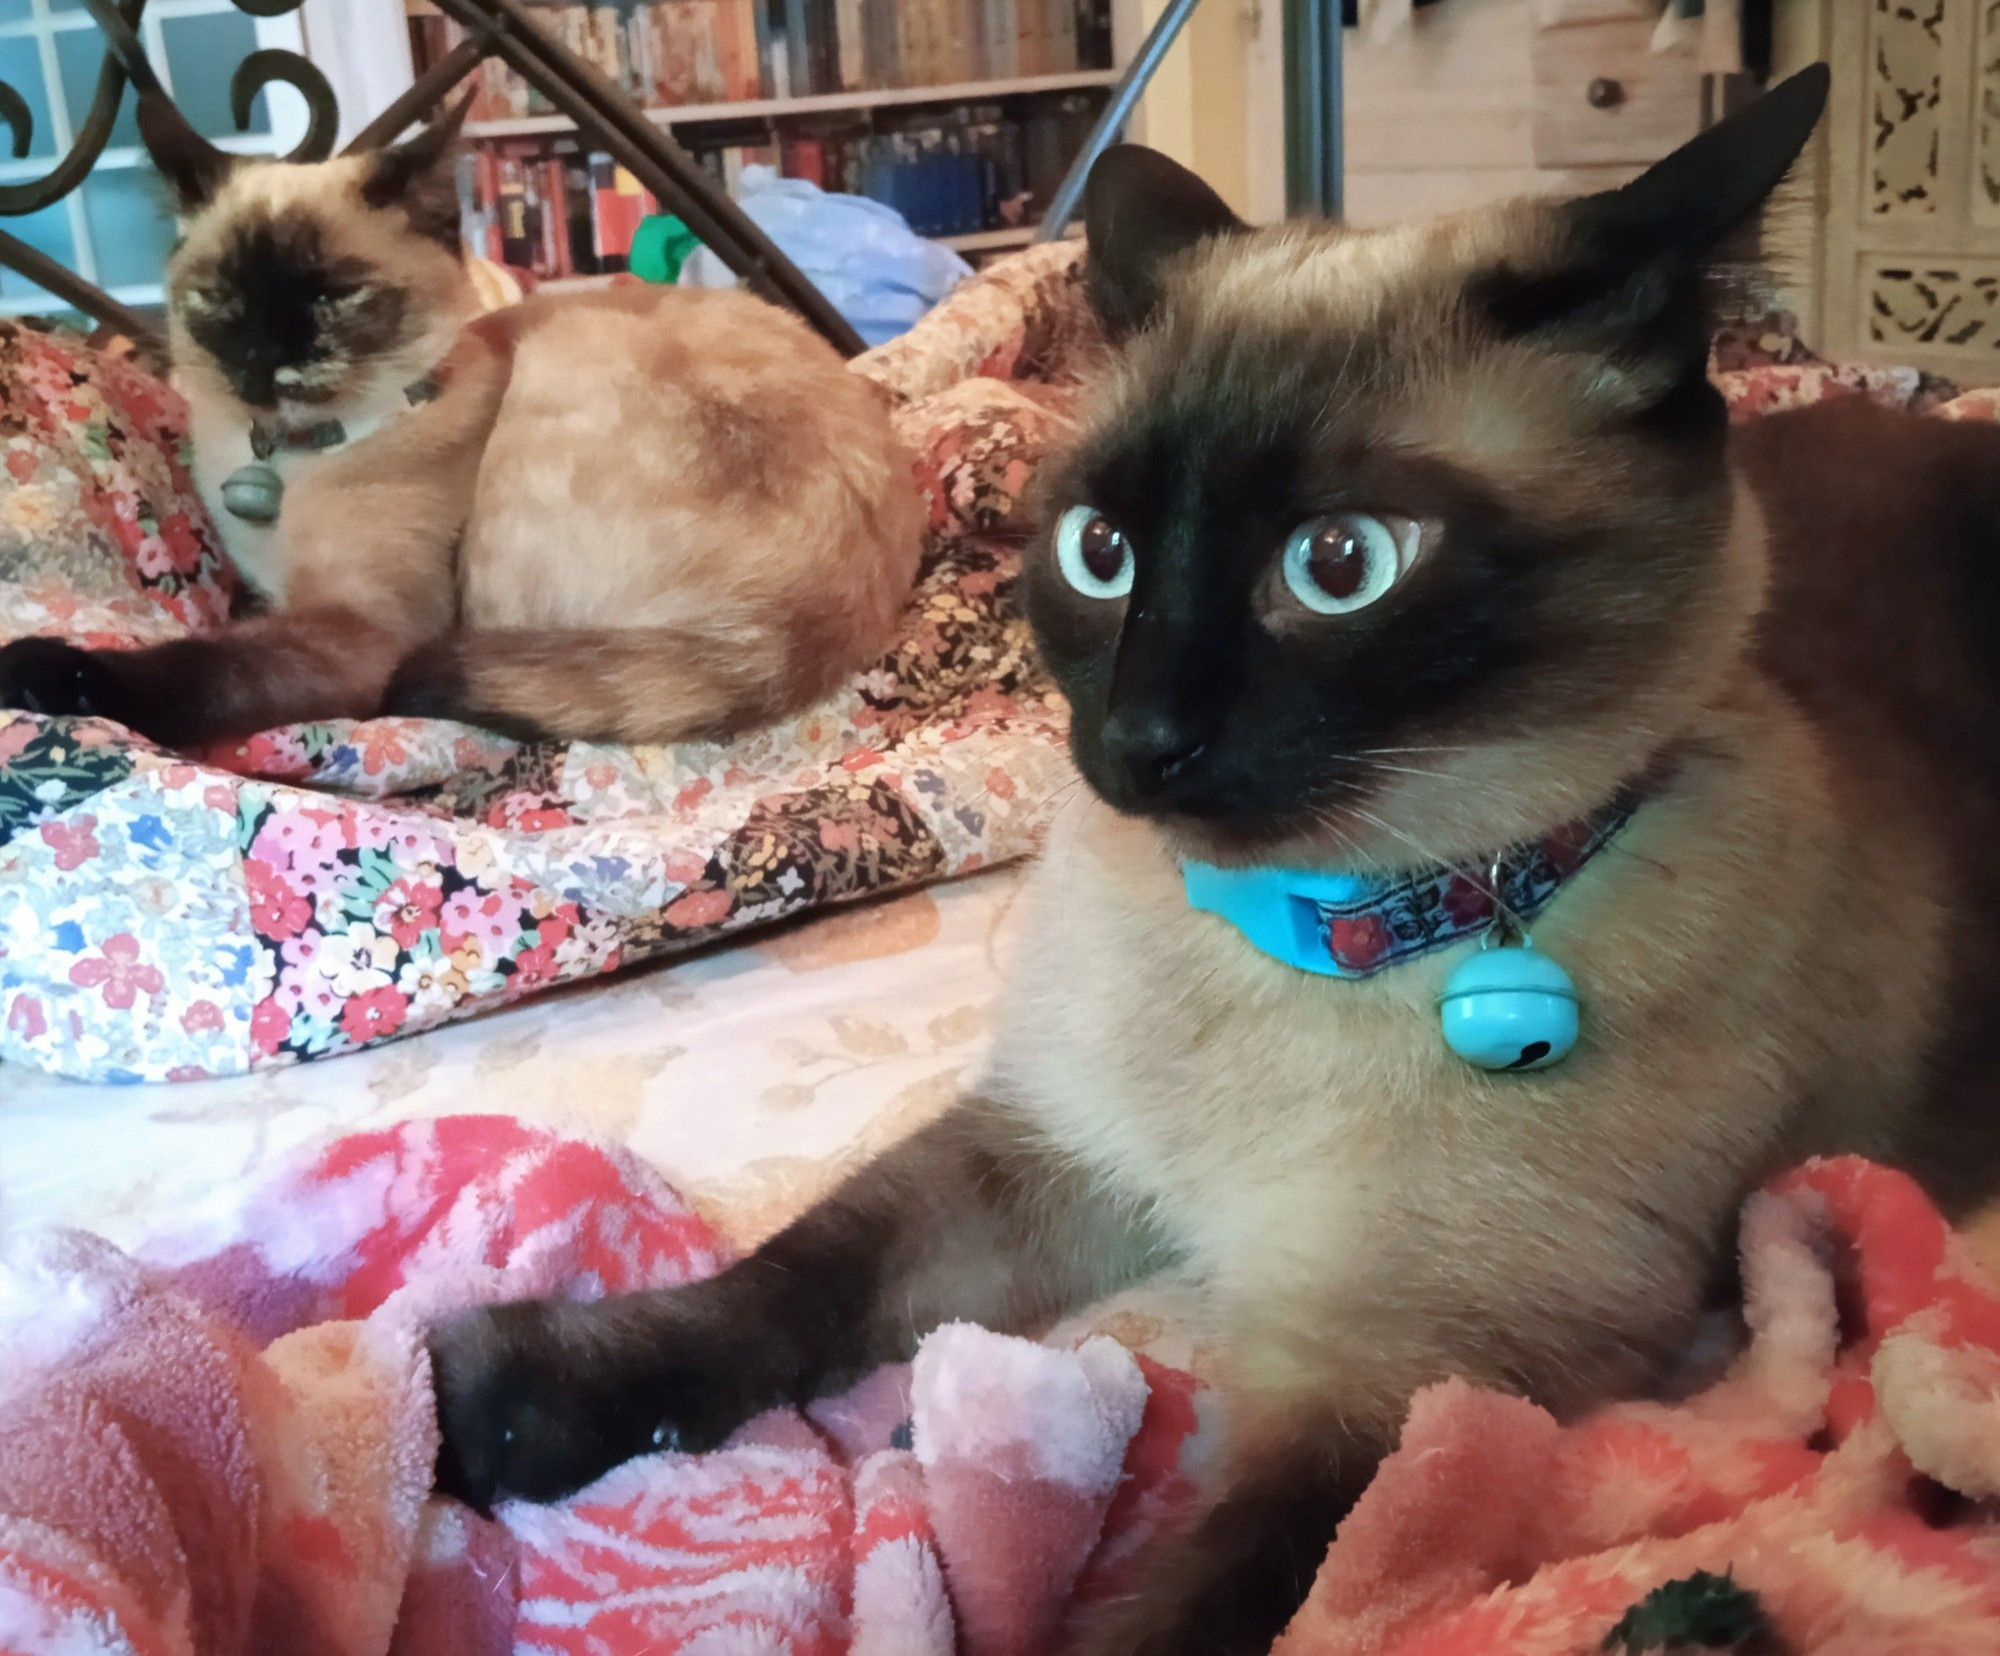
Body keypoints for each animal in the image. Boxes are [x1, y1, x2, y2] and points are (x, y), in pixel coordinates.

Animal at [0, 94, 920, 752]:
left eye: (335, 296)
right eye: (221, 300)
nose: (262, 359)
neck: (289, 458)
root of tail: (826, 621)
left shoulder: (360, 628)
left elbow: (208, 665)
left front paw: (41, 673)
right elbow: (238, 613)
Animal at [426, 71, 2000, 1656]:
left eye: (1340, 565)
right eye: (1100, 550)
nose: (1136, 743)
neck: (1304, 936)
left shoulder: (1409, 1387)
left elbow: (1197, 1599)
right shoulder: (1050, 1155)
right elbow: (795, 1279)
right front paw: (507, 1415)